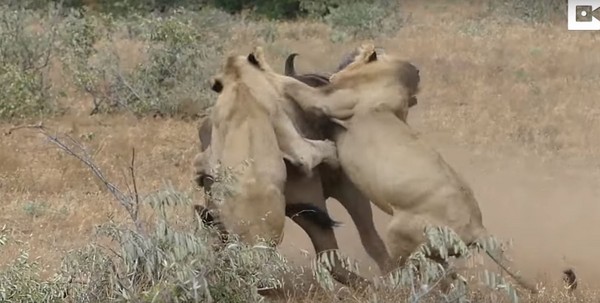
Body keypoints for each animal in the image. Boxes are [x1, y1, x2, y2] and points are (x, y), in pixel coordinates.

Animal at [284, 42, 576, 294]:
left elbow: (293, 85)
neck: (388, 80)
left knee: (412, 270)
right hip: (432, 251)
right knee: (447, 277)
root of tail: (477, 228)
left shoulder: (327, 102)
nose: (336, 68)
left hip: (400, 232)